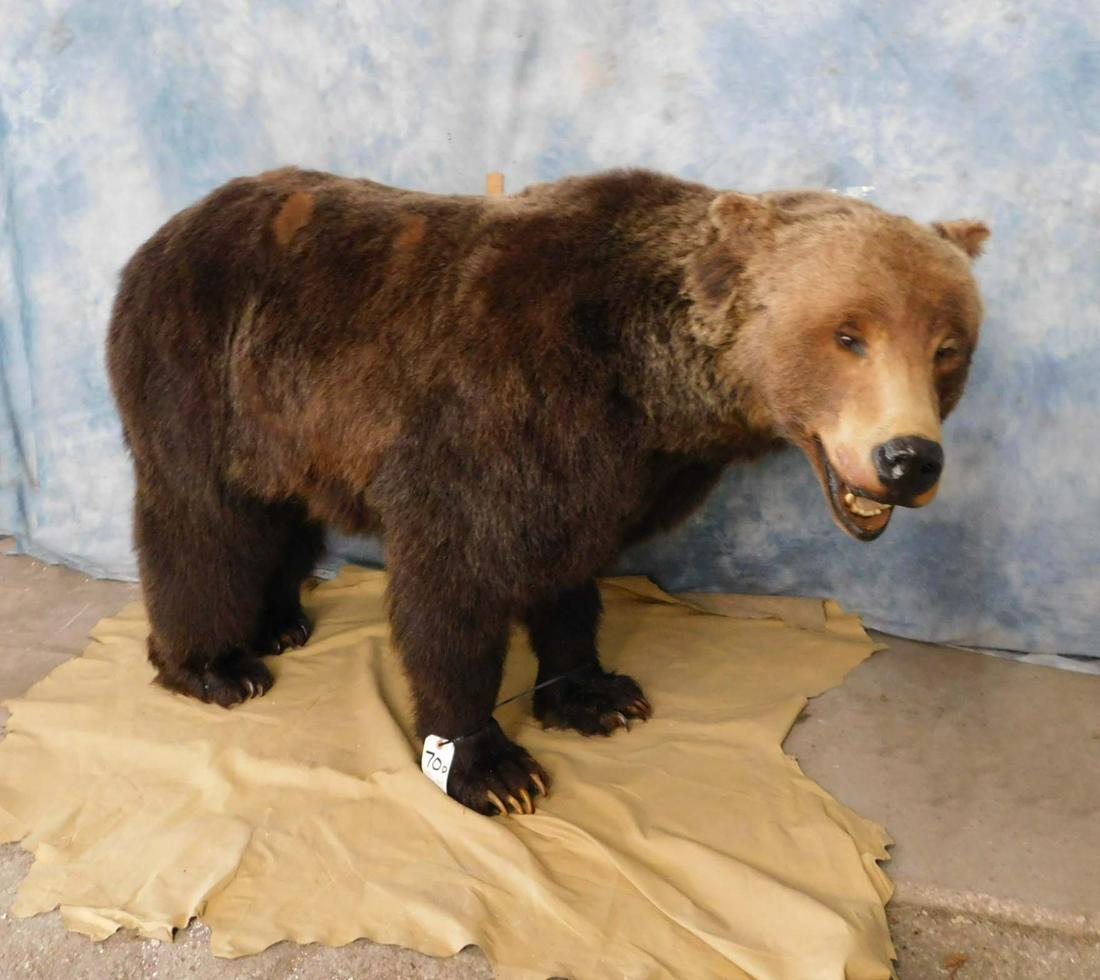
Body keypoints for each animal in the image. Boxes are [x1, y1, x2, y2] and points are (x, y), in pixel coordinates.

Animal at [106, 167, 988, 816]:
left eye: (948, 346)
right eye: (849, 334)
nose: (909, 459)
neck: (643, 376)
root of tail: (167, 229)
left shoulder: (605, 465)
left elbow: (569, 567)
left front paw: (595, 693)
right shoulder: (495, 411)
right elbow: (455, 586)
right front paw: (489, 766)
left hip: (282, 423)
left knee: (279, 512)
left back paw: (281, 619)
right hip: (200, 372)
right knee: (200, 518)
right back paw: (215, 663)